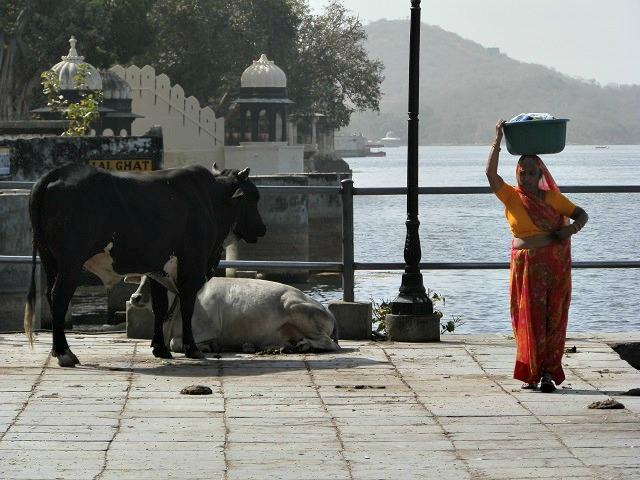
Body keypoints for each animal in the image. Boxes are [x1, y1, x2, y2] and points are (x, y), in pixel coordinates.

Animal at [24, 163, 264, 366]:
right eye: (253, 198)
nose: (262, 229)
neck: (210, 200)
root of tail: (56, 173)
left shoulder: (157, 270)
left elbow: (160, 308)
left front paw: (160, 348)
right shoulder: (191, 266)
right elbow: (187, 307)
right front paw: (192, 348)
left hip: (50, 260)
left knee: (50, 295)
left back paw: (58, 350)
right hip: (70, 263)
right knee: (59, 297)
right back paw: (64, 353)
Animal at [129, 276, 340, 350]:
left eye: (154, 282)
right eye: (141, 278)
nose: (134, 297)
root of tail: (326, 309)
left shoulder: (207, 329)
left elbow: (176, 343)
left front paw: (209, 346)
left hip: (296, 308)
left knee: (329, 343)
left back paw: (304, 345)